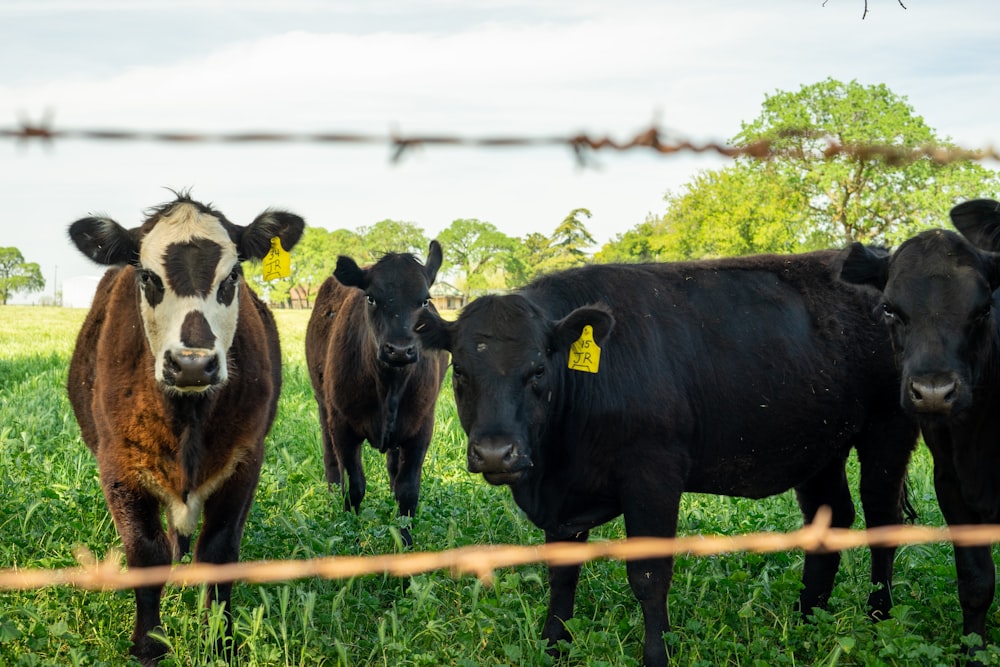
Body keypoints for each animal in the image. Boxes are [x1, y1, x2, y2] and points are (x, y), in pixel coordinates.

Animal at [65, 190, 304, 664]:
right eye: (146, 277)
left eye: (232, 276)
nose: (192, 363)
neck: (187, 419)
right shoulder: (119, 467)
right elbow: (146, 554)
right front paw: (149, 643)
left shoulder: (244, 461)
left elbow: (218, 551)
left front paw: (220, 642)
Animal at [302, 240, 448, 548]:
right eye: (371, 298)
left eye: (424, 300)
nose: (400, 349)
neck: (388, 386)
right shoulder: (342, 426)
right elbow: (354, 486)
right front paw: (350, 533)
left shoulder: (421, 428)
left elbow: (408, 490)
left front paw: (405, 540)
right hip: (323, 406)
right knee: (331, 459)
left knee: (393, 465)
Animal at [416, 252, 920, 667]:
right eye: (460, 372)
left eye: (538, 370)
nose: (495, 452)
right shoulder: (564, 499)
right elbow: (561, 573)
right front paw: (553, 646)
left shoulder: (652, 476)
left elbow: (649, 575)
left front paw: (656, 655)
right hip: (820, 448)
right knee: (831, 519)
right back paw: (807, 619)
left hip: (889, 430)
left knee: (883, 520)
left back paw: (878, 619)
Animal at [840, 196, 1000, 660]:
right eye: (890, 308)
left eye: (984, 309)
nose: (932, 392)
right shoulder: (951, 482)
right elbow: (976, 582)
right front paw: (974, 653)